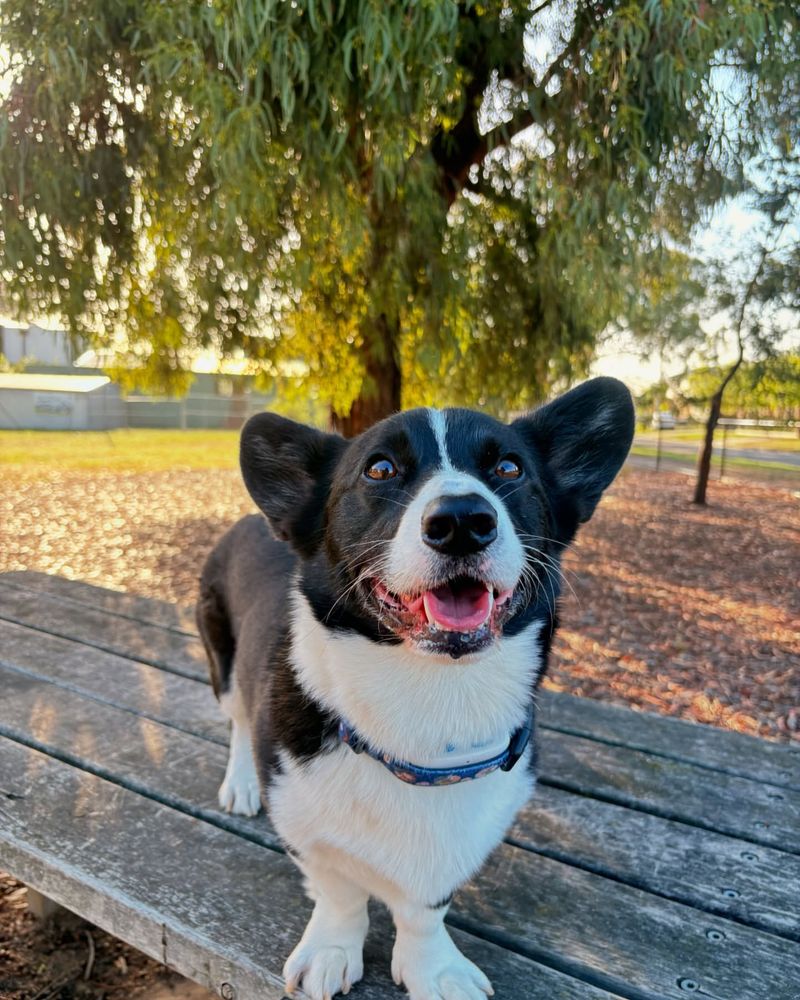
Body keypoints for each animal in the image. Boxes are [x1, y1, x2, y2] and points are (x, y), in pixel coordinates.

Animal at [197, 376, 636, 1000]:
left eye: (509, 467)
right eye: (379, 469)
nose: (462, 521)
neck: (430, 701)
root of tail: (249, 518)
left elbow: (426, 910)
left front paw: (434, 970)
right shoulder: (304, 823)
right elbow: (339, 891)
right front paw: (332, 949)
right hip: (224, 660)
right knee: (235, 719)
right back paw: (240, 784)